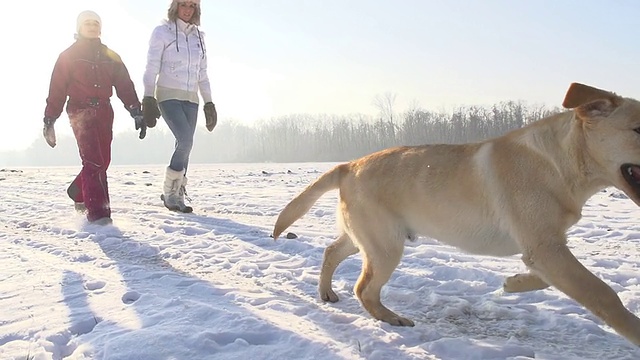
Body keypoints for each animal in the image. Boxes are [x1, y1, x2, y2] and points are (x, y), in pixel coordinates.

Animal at [272, 83, 640, 344]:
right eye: (638, 129)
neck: (561, 162)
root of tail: (349, 164)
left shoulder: (546, 247)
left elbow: (547, 276)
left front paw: (514, 282)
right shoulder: (546, 247)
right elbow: (603, 294)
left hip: (367, 238)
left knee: (332, 252)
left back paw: (327, 292)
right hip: (384, 244)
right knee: (364, 288)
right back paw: (392, 318)